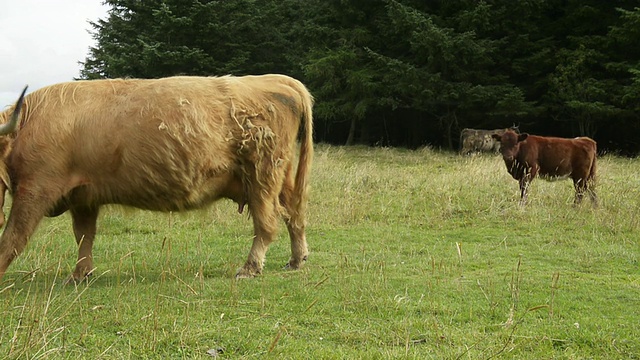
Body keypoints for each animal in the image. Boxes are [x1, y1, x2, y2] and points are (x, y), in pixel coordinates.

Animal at [0, 74, 312, 282]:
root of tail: (278, 80)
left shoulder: (36, 189)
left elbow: (13, 236)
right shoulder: (84, 197)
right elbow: (84, 236)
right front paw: (80, 275)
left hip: (262, 175)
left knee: (267, 222)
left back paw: (250, 267)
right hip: (280, 176)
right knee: (294, 214)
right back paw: (296, 259)